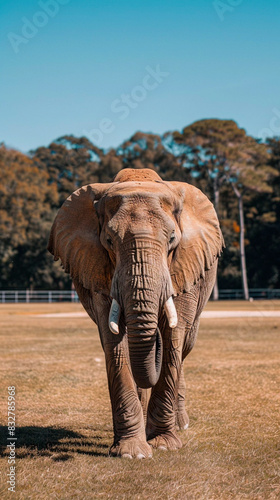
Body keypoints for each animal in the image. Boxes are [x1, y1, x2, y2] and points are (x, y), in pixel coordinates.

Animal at [47, 167, 223, 458]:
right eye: (108, 241)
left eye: (172, 239)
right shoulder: (100, 270)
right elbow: (114, 344)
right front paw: (132, 452)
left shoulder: (185, 267)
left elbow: (173, 339)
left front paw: (163, 444)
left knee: (184, 346)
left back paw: (180, 425)